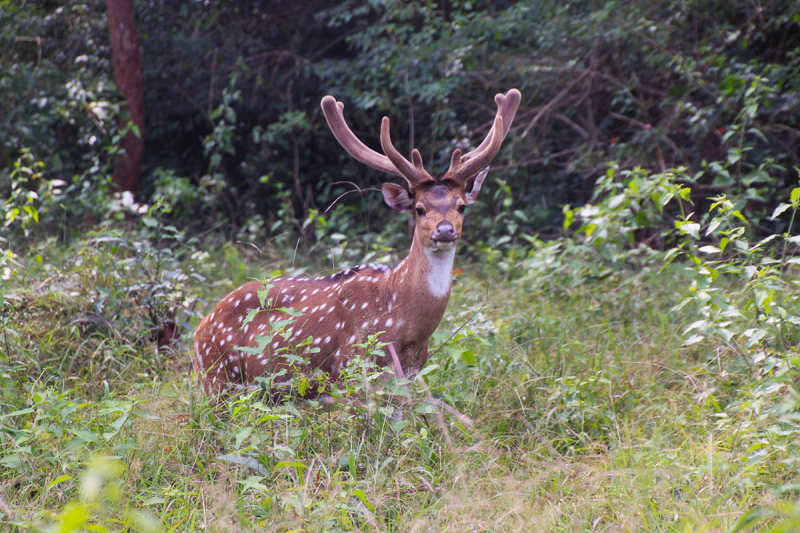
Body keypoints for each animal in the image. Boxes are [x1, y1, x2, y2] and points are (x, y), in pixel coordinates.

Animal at [193, 88, 520, 394]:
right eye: (419, 208)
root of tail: (200, 326)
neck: (405, 327)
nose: (444, 231)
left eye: (462, 206)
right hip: (218, 378)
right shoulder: (350, 365)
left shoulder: (408, 376)